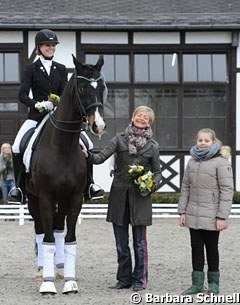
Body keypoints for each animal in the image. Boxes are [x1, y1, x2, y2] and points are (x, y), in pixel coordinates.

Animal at [25, 54, 106, 292]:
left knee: (59, 229)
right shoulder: (45, 197)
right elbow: (48, 239)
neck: (63, 146)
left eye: (102, 87)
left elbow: (69, 238)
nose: (98, 126)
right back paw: (42, 270)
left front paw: (70, 282)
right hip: (32, 198)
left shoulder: (75, 198)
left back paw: (59, 269)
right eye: (81, 88)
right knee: (41, 230)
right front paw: (47, 284)